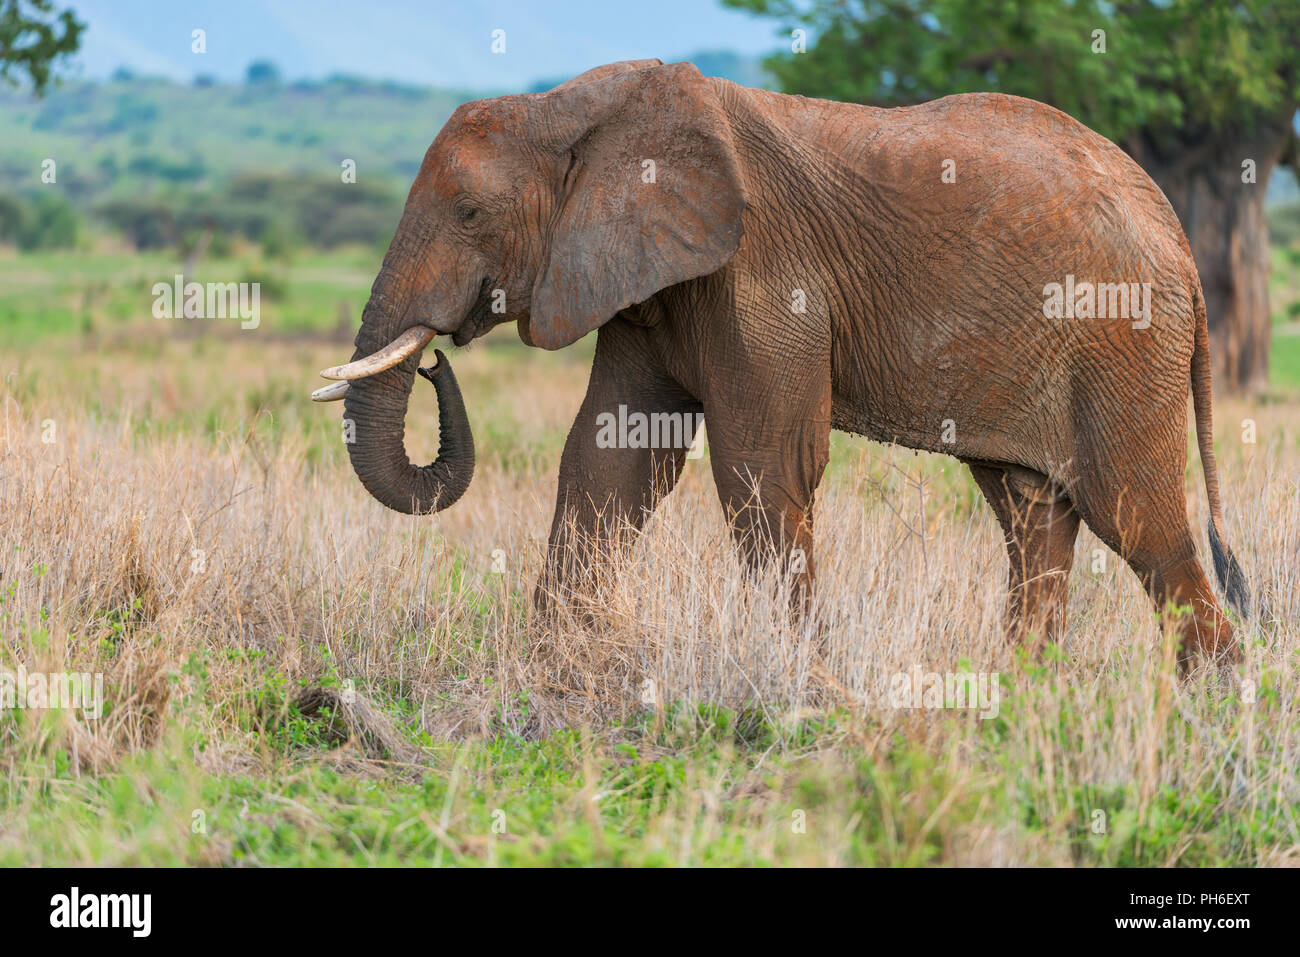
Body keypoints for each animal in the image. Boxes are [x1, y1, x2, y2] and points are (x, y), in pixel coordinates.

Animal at [312, 57, 1248, 665]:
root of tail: (1176, 237)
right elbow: (610, 455)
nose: (434, 362)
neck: (570, 106)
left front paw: (806, 683)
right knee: (1033, 516)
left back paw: (1212, 711)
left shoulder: (763, 276)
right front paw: (551, 668)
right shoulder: (648, 276)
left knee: (1136, 517)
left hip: (1121, 340)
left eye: (470, 212)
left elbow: (761, 464)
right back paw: (1022, 702)